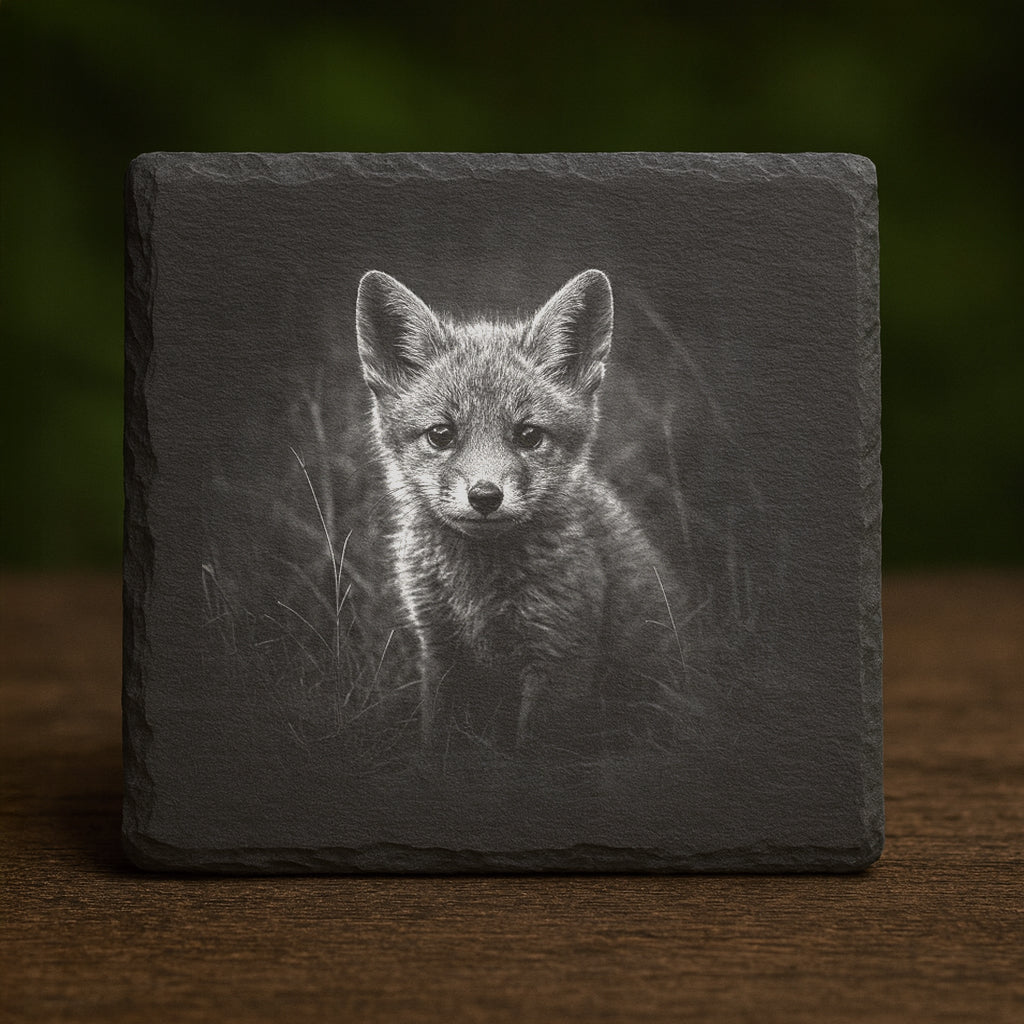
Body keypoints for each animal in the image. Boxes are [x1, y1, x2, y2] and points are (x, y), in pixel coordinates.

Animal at [355, 268, 680, 751]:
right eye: (441, 434)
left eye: (528, 435)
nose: (485, 496)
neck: (475, 594)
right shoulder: (439, 650)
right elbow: (434, 740)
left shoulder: (559, 657)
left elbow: (532, 749)